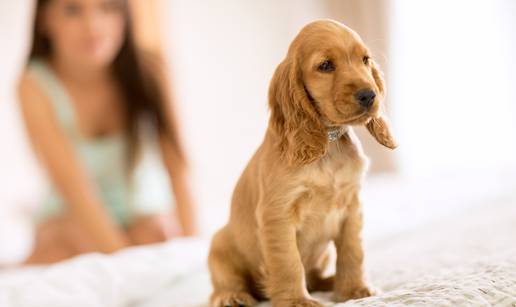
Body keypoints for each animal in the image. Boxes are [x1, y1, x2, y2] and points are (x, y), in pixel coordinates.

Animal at [208, 19, 398, 307]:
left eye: (365, 60)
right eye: (326, 66)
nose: (369, 95)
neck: (328, 145)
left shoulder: (352, 208)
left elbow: (353, 251)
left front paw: (354, 289)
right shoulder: (278, 215)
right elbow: (289, 263)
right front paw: (296, 300)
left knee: (315, 276)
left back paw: (330, 282)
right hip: (218, 246)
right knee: (224, 284)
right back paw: (232, 296)